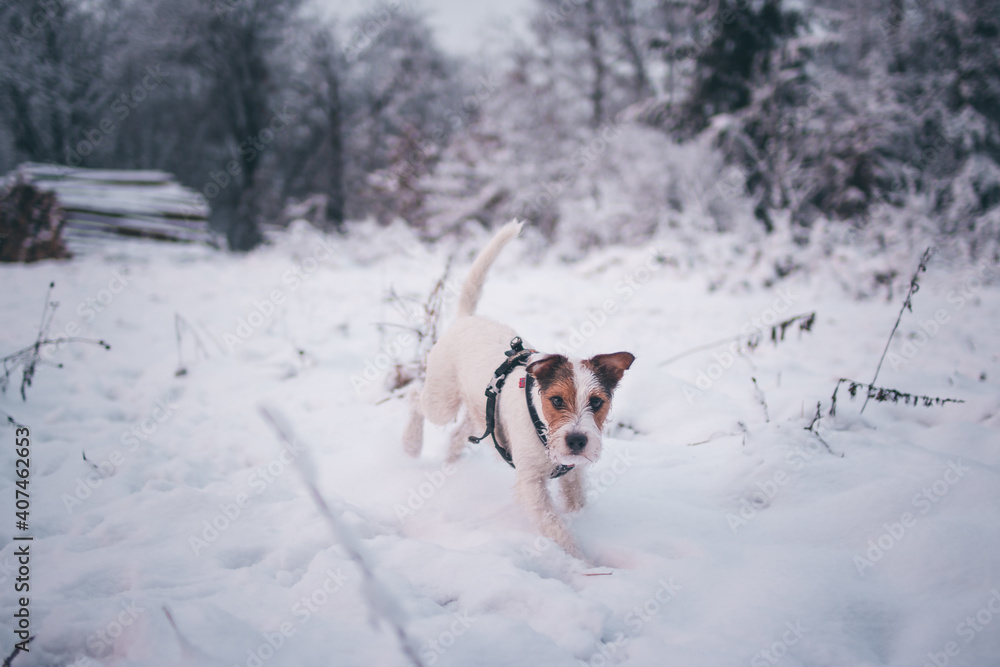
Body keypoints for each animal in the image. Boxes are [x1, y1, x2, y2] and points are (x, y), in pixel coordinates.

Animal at [400, 219, 628, 560]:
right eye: (556, 400)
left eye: (597, 402)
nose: (577, 440)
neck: (544, 430)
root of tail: (466, 319)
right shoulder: (531, 483)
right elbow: (555, 526)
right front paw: (578, 559)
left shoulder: (573, 475)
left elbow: (576, 503)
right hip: (442, 399)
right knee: (415, 397)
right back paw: (411, 445)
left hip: (481, 413)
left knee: (458, 433)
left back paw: (452, 464)